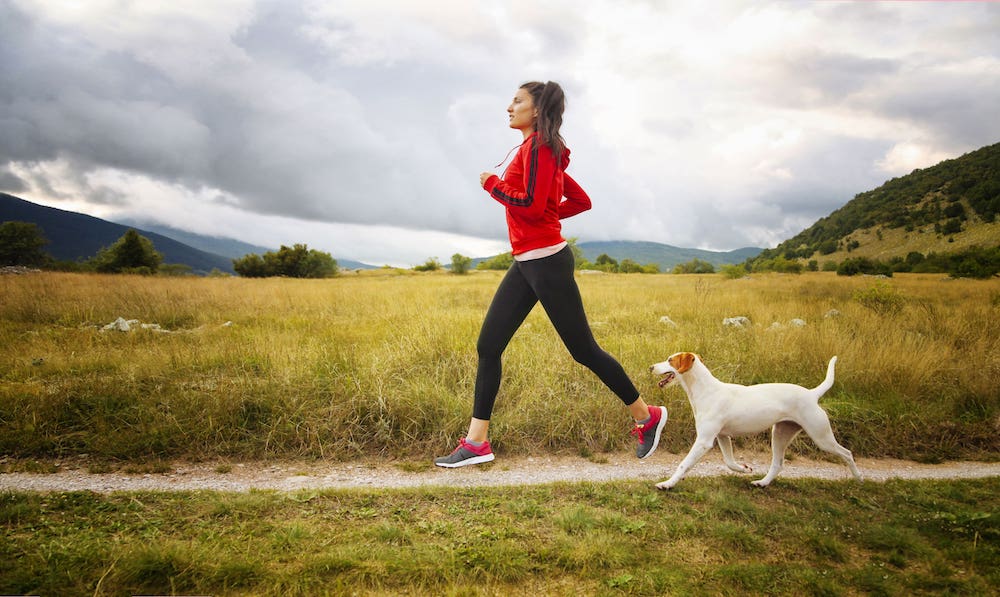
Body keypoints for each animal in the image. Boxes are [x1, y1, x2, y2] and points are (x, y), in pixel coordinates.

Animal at [648, 352, 860, 486]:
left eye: (670, 359)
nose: (650, 366)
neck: (706, 390)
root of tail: (812, 394)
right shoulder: (722, 437)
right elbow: (729, 461)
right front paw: (744, 468)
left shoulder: (704, 441)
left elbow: (684, 464)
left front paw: (667, 484)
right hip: (780, 434)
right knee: (778, 464)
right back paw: (762, 483)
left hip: (821, 437)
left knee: (847, 453)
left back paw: (858, 479)